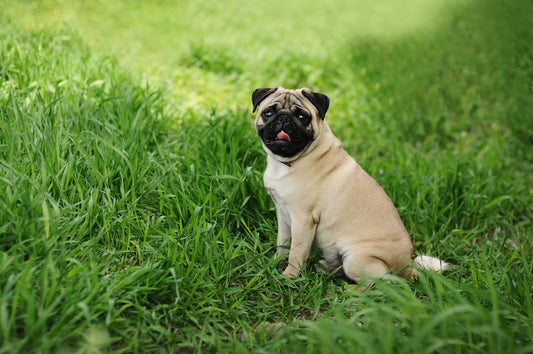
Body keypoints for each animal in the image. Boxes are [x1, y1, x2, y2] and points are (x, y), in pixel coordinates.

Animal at [251, 86, 446, 284]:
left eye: (302, 117)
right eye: (268, 113)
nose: (284, 119)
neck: (287, 163)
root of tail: (408, 267)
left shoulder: (303, 220)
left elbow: (296, 252)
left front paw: (289, 277)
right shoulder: (283, 214)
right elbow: (283, 244)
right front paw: (275, 263)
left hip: (356, 259)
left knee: (381, 283)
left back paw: (350, 288)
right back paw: (326, 269)